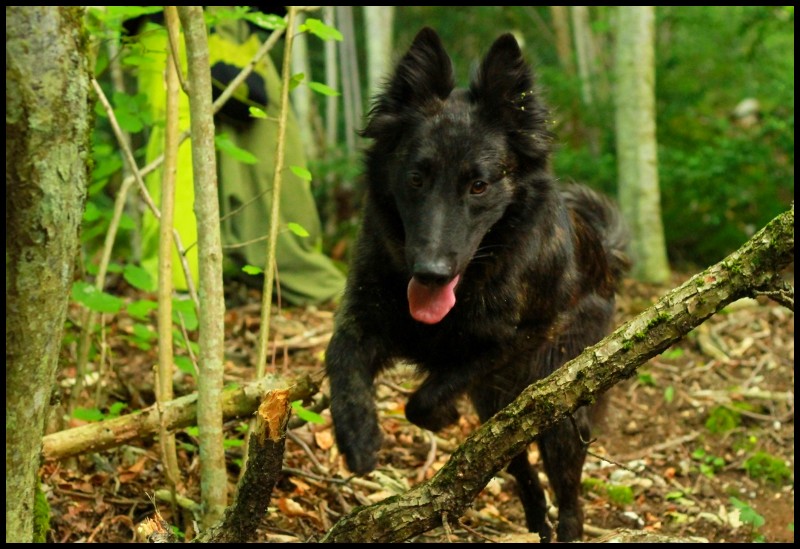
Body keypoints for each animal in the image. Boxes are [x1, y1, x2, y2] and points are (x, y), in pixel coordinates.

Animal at [324, 27, 632, 540]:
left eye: (479, 186)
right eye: (415, 178)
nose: (429, 271)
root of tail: (604, 252)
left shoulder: (522, 336)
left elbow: (426, 398)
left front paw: (439, 413)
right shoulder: (365, 318)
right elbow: (340, 356)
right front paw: (357, 433)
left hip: (558, 407)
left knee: (568, 497)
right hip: (501, 406)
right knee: (511, 459)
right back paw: (534, 517)